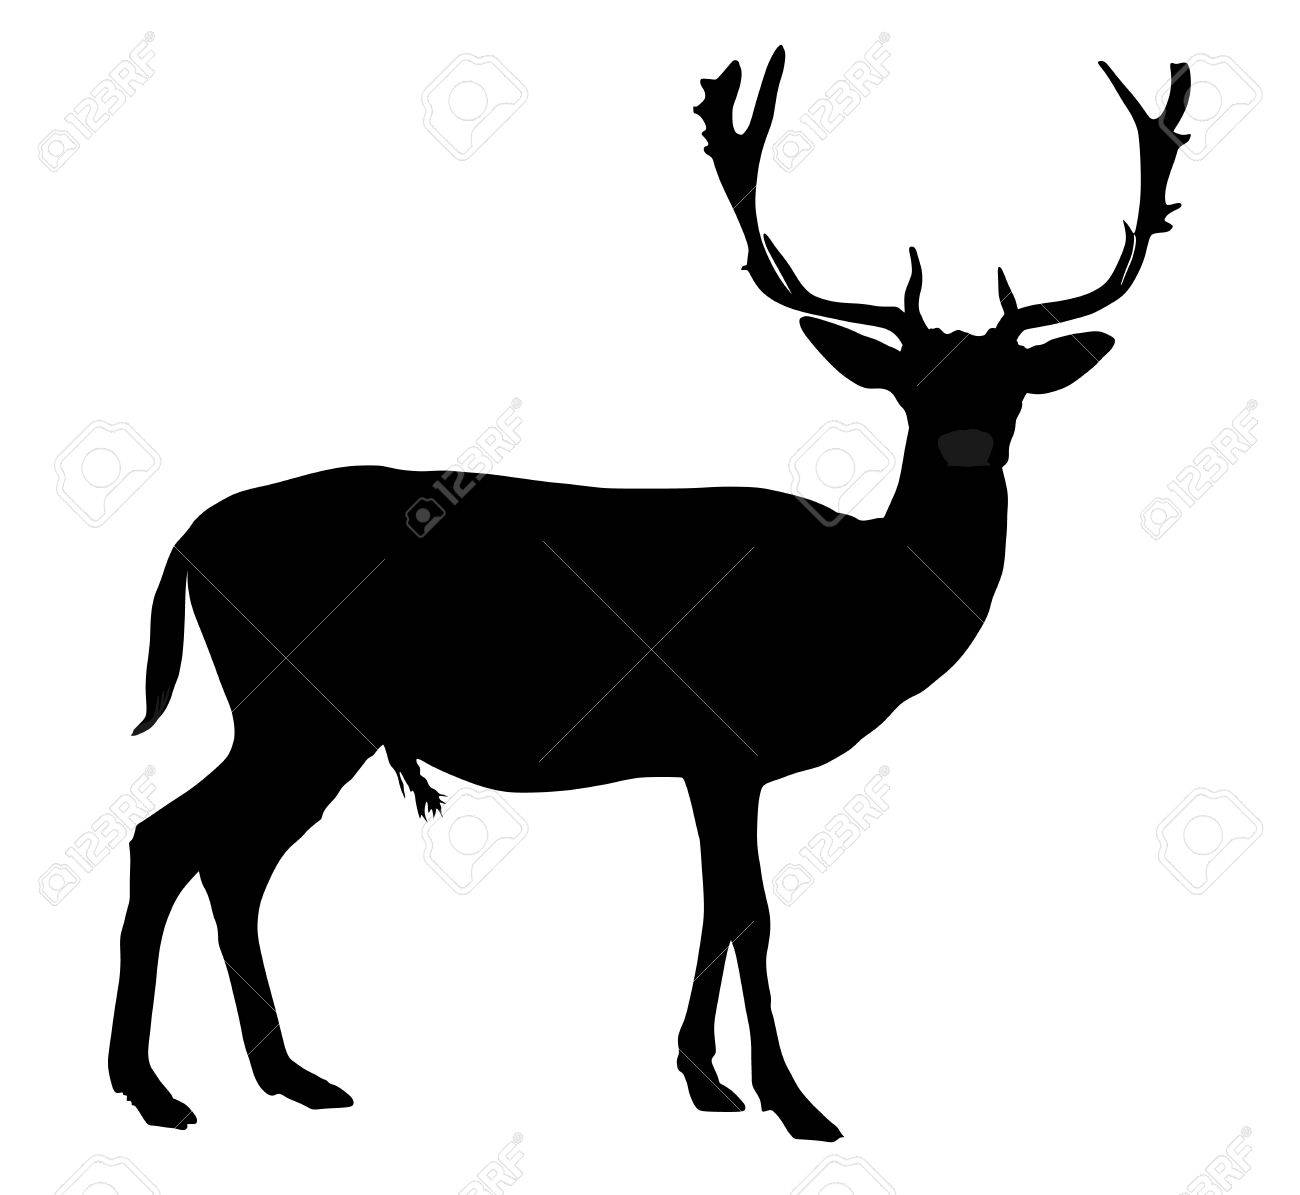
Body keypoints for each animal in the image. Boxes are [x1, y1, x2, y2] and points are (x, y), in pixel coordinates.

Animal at [108, 47, 1190, 1140]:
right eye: (912, 388)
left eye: (1009, 388)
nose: (968, 445)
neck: (855, 603)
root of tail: (186, 543)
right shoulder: (726, 742)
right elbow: (749, 910)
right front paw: (791, 1098)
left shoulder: (707, 763)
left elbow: (718, 908)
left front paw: (706, 1076)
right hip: (298, 702)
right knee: (174, 840)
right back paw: (154, 1087)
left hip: (304, 715)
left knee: (225, 857)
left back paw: (283, 1075)